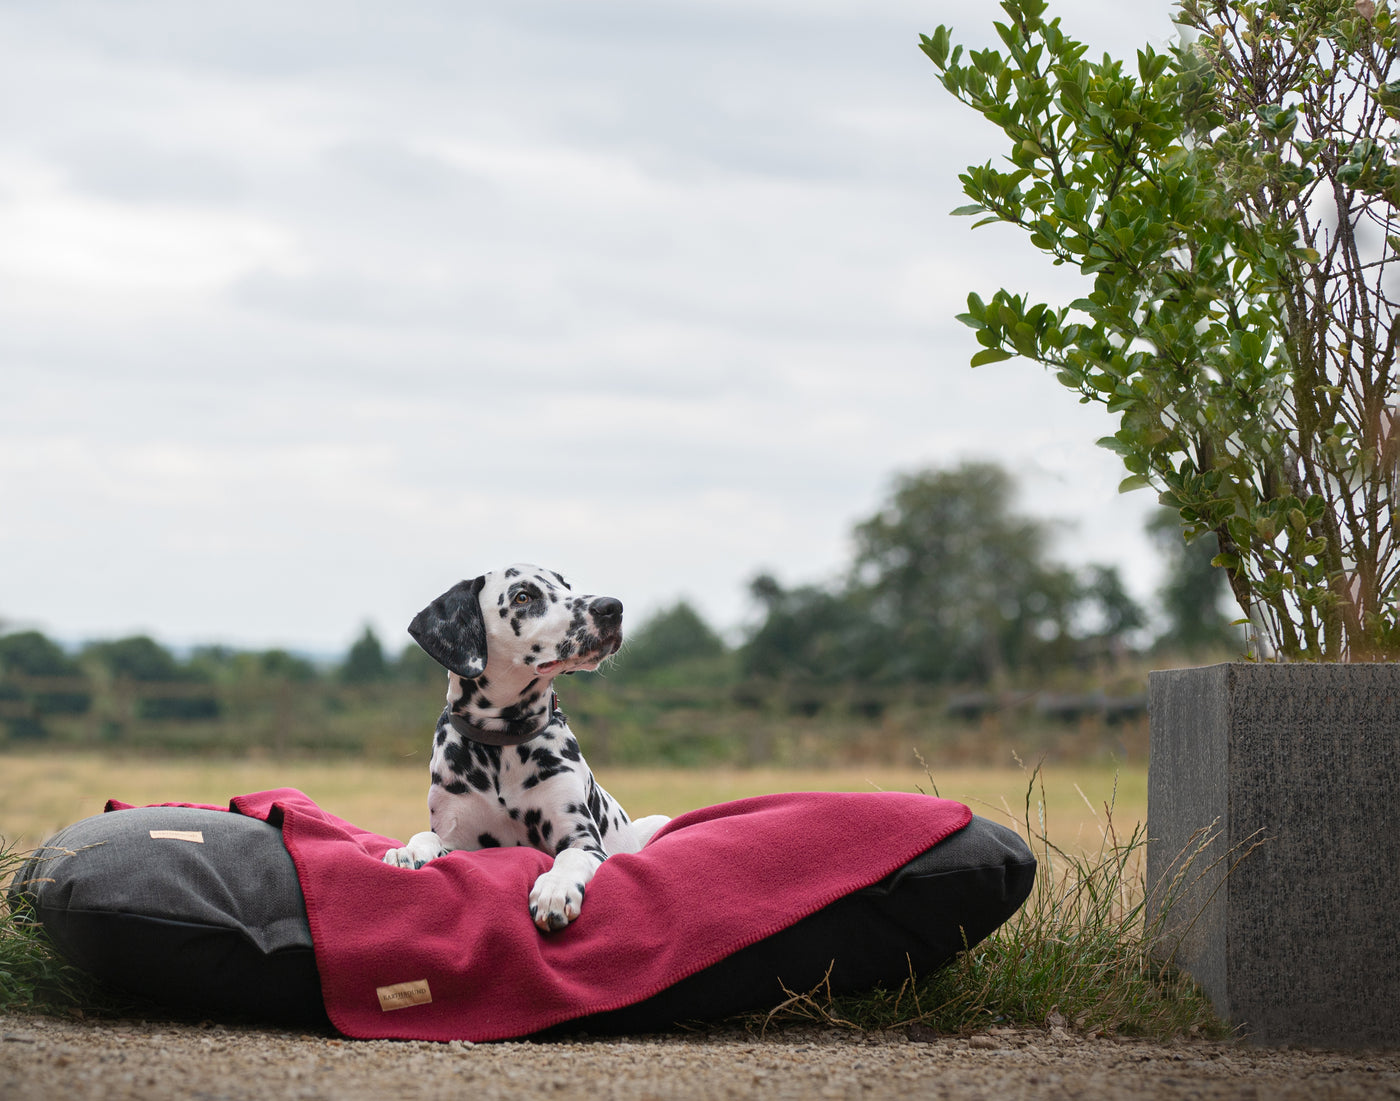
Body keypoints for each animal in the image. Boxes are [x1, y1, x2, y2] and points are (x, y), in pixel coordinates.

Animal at [380, 563, 669, 930]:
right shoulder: (458, 840)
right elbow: (427, 837)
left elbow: (571, 855)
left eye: (566, 587)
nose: (611, 607)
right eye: (523, 597)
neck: (500, 745)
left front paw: (555, 889)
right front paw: (410, 850)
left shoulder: (584, 841)